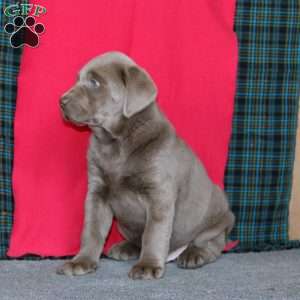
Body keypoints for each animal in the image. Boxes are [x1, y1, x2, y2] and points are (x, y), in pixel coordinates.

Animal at [56, 51, 234, 278]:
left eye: (94, 82)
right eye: (78, 79)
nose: (61, 101)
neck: (115, 143)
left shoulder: (159, 194)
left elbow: (153, 233)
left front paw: (147, 266)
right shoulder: (97, 193)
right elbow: (92, 229)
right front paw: (82, 261)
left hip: (218, 216)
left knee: (213, 244)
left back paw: (195, 254)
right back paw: (125, 247)